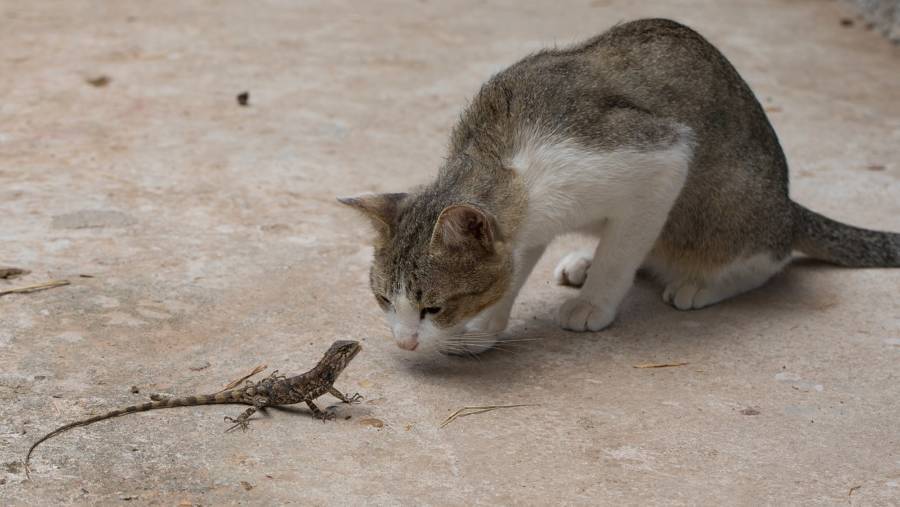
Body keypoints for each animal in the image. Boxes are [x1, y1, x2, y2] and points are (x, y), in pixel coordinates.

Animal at [340, 16, 900, 358]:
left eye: (433, 307)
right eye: (384, 300)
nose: (406, 343)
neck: (503, 160)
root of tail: (786, 204)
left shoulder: (662, 158)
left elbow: (623, 250)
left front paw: (595, 301)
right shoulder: (531, 223)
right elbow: (518, 262)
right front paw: (486, 328)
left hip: (724, 207)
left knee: (764, 256)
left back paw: (701, 282)